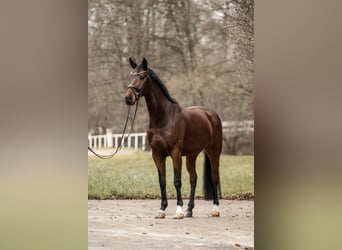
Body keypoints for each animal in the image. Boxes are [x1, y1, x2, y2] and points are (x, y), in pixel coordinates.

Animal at [125, 57, 222, 218]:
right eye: (130, 76)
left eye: (142, 77)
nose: (128, 98)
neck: (163, 119)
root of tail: (212, 114)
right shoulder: (157, 154)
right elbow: (162, 181)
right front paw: (162, 210)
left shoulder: (175, 153)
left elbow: (177, 181)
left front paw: (178, 211)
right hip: (191, 155)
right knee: (193, 178)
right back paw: (190, 210)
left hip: (213, 152)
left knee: (213, 177)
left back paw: (215, 209)